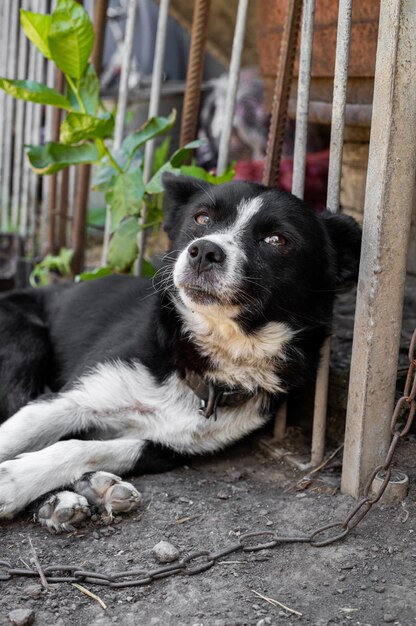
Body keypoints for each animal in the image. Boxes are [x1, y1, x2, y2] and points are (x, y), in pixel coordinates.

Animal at [0, 173, 360, 528]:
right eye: (202, 219)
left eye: (276, 240)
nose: (204, 251)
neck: (196, 360)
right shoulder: (69, 398)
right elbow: (19, 433)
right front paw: (14, 481)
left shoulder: (170, 446)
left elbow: (82, 447)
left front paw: (21, 480)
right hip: (23, 342)